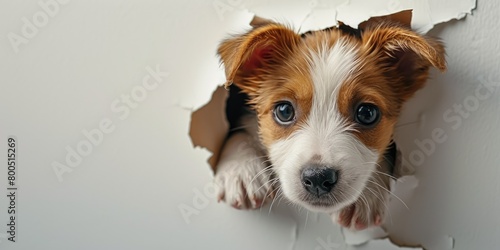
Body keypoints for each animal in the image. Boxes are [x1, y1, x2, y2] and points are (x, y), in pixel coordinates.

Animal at [213, 18, 448, 230]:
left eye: (367, 113)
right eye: (284, 111)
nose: (318, 178)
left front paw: (366, 195)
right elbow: (240, 131)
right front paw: (240, 170)